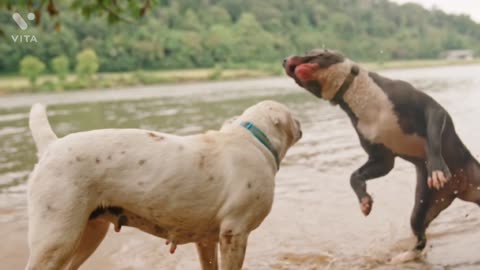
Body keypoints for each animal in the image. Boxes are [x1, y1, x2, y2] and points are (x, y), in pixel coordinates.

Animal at [26, 100, 302, 270]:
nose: (300, 123)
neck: (254, 139)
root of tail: (52, 145)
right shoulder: (235, 233)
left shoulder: (207, 241)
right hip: (57, 237)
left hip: (88, 233)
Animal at [284, 48, 478, 262]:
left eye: (310, 53)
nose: (285, 59)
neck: (355, 93)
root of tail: (459, 188)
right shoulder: (382, 159)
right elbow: (354, 176)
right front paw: (364, 201)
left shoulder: (433, 109)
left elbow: (433, 140)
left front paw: (436, 169)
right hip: (423, 207)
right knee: (420, 236)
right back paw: (404, 256)